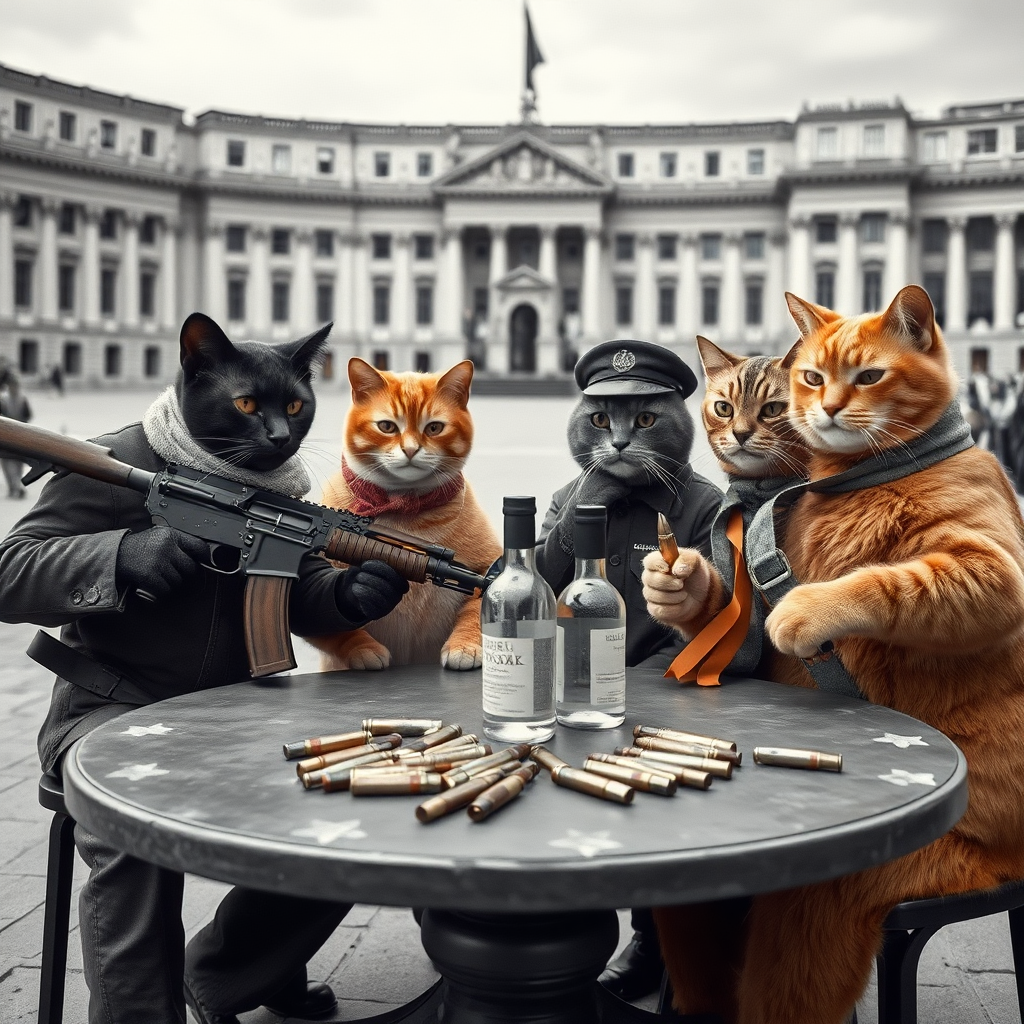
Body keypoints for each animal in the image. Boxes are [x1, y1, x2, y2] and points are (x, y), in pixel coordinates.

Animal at [311, 358, 503, 671]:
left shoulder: (485, 563)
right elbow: (328, 618)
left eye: (435, 428)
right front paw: (362, 648)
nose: (411, 449)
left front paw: (465, 645)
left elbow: (477, 609)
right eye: (386, 427)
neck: (404, 507)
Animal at [651, 282, 1024, 1024]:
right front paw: (677, 586)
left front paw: (804, 611)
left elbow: (898, 579)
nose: (821, 410)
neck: (855, 476)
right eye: (811, 378)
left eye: (869, 376)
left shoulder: (991, 566)